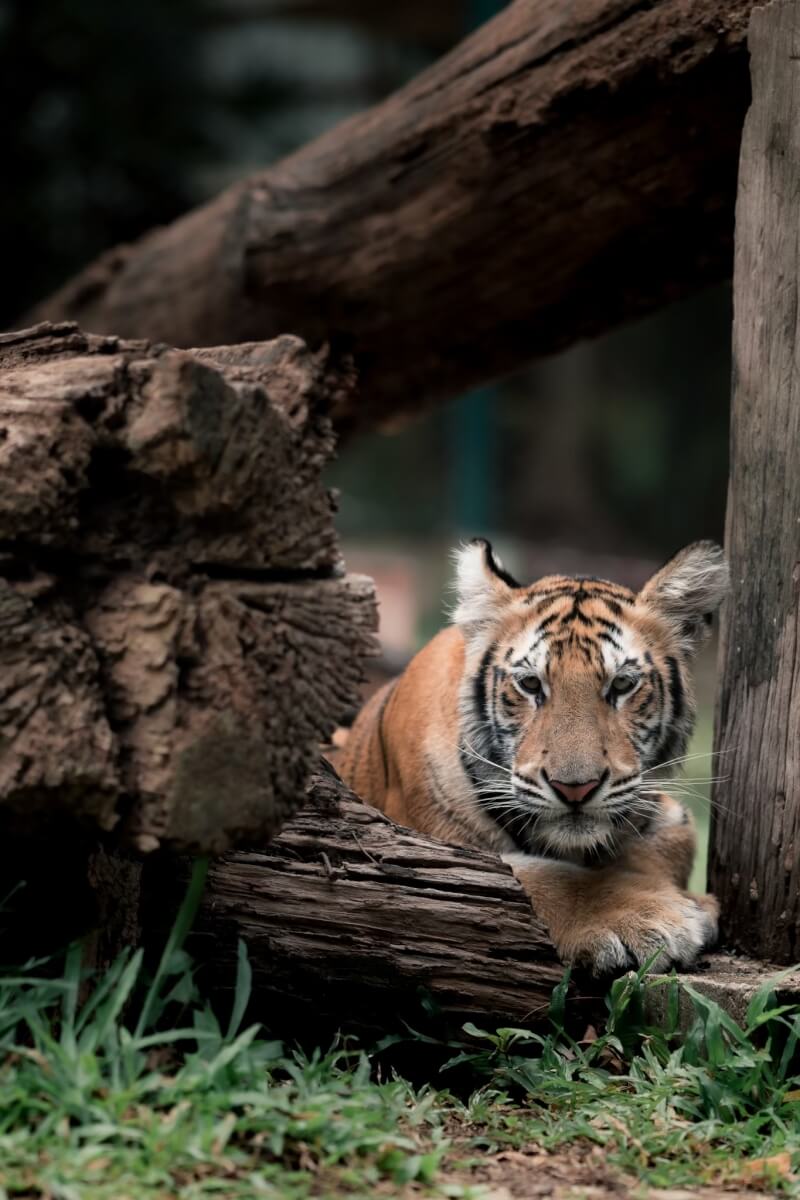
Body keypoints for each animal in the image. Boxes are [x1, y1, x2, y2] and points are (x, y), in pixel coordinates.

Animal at [338, 538, 728, 975]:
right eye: (529, 684)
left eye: (622, 685)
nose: (575, 789)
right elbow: (541, 877)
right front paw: (654, 917)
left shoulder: (665, 812)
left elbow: (668, 841)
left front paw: (687, 901)